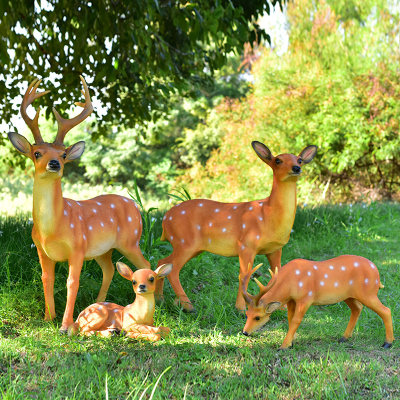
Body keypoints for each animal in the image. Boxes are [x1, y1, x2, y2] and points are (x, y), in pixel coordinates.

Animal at [8, 77, 150, 332]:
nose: (54, 163)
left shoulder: (78, 246)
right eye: (37, 153)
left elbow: (72, 282)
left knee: (147, 263)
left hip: (130, 240)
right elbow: (47, 278)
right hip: (104, 250)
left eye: (63, 154)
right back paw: (99, 303)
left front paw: (65, 326)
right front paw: (48, 318)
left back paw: (163, 301)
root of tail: (135, 205)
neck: (52, 228)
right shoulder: (41, 249)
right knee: (109, 269)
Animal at [155, 142, 316, 310]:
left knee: (163, 263)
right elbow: (244, 275)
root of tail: (165, 220)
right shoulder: (246, 244)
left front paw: (282, 308)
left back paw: (160, 300)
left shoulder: (275, 249)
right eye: (278, 160)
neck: (268, 214)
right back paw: (188, 306)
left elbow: (277, 275)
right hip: (184, 241)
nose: (296, 168)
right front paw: (240, 308)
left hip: (191, 246)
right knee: (173, 269)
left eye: (299, 160)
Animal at [241, 258, 394, 348]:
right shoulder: (292, 300)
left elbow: (296, 320)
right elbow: (290, 319)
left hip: (368, 293)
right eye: (247, 314)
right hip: (348, 296)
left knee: (386, 310)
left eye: (258, 317)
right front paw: (291, 342)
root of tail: (376, 272)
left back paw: (388, 343)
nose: (245, 332)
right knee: (357, 308)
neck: (290, 282)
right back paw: (344, 338)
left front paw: (284, 346)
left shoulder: (306, 298)